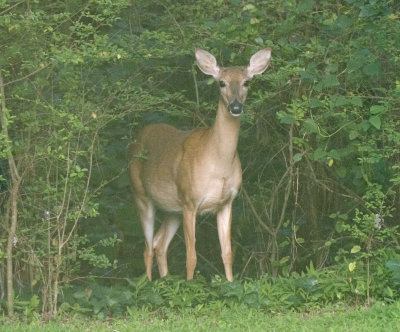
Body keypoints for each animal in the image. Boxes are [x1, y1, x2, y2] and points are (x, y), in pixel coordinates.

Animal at [130, 47, 270, 280]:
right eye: (221, 82)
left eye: (246, 82)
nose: (235, 107)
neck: (219, 163)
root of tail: (136, 140)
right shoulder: (190, 201)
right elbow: (191, 256)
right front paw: (189, 284)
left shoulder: (226, 202)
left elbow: (227, 253)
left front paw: (230, 283)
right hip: (141, 195)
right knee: (147, 248)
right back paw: (148, 283)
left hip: (172, 209)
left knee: (160, 244)